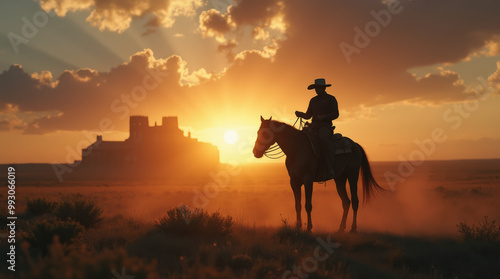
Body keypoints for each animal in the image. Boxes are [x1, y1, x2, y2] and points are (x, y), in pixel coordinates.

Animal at [252, 116, 384, 234]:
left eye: (265, 134)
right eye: (258, 132)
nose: (256, 152)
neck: (296, 149)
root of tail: (355, 144)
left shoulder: (308, 180)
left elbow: (308, 205)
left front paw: (309, 228)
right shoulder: (294, 181)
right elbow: (297, 205)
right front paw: (298, 226)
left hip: (352, 175)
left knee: (355, 201)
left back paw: (353, 228)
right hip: (340, 179)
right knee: (346, 202)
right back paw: (341, 228)